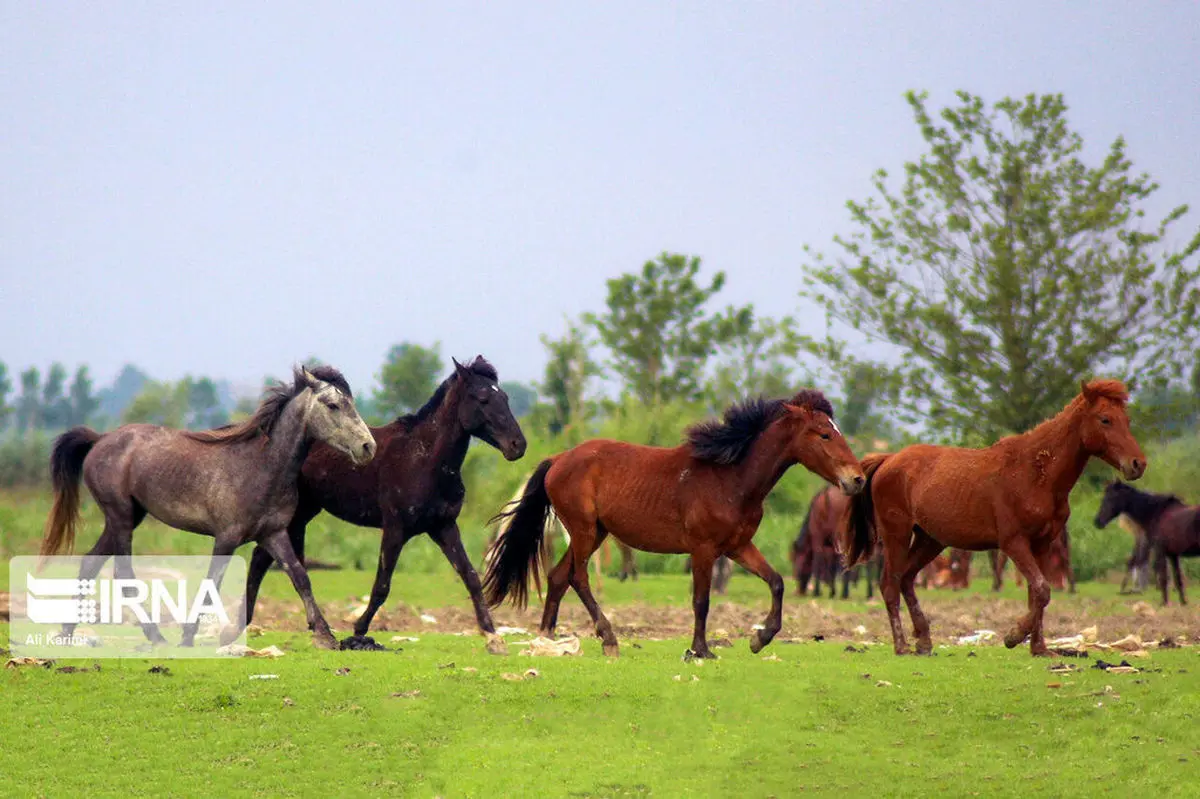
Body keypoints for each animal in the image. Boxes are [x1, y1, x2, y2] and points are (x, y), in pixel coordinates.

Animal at [41, 364, 374, 647]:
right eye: (332, 405)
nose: (368, 447)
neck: (261, 467)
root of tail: (101, 438)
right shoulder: (226, 538)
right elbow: (212, 583)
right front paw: (188, 637)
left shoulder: (274, 534)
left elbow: (300, 576)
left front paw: (325, 636)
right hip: (120, 517)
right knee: (123, 574)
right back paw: (156, 637)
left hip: (127, 517)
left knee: (90, 563)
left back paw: (67, 632)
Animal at [482, 388, 868, 657]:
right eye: (824, 434)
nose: (857, 479)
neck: (731, 479)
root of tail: (559, 459)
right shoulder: (703, 549)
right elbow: (702, 600)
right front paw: (702, 650)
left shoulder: (737, 547)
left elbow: (776, 582)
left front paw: (760, 639)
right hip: (583, 531)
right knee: (578, 577)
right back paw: (608, 638)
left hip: (594, 533)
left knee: (558, 576)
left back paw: (546, 637)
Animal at [840, 379, 1147, 652]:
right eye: (1105, 419)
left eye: (1127, 420)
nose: (1138, 464)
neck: (1036, 473)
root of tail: (888, 460)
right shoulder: (1014, 543)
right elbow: (1042, 589)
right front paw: (1014, 636)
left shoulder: (1042, 545)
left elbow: (1037, 593)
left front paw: (1039, 647)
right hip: (897, 536)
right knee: (889, 584)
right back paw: (902, 645)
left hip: (930, 540)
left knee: (906, 579)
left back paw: (924, 640)